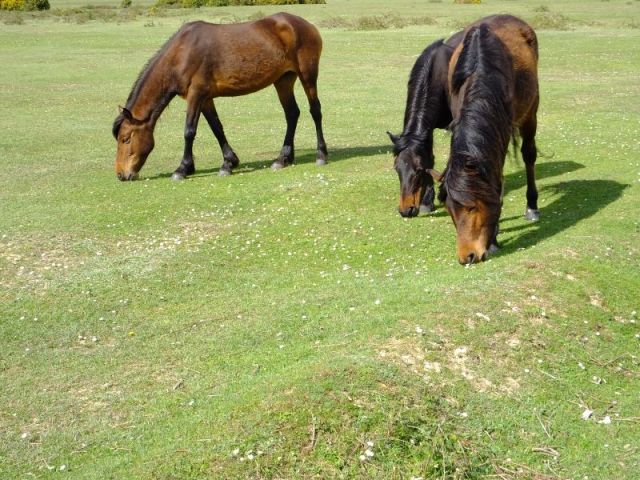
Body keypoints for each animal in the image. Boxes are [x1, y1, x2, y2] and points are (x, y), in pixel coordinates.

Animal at [112, 13, 328, 181]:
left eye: (125, 139)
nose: (121, 175)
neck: (181, 54)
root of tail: (304, 24)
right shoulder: (205, 99)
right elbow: (217, 128)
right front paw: (228, 162)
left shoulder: (196, 94)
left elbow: (189, 131)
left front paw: (182, 169)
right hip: (283, 80)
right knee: (292, 114)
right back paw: (282, 159)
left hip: (307, 75)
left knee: (315, 111)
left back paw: (321, 155)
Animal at [390, 15, 540, 265]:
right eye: (397, 170)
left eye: (417, 172)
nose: (406, 209)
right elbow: (431, 157)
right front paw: (427, 202)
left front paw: (494, 238)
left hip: (531, 114)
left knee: (529, 156)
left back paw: (532, 207)